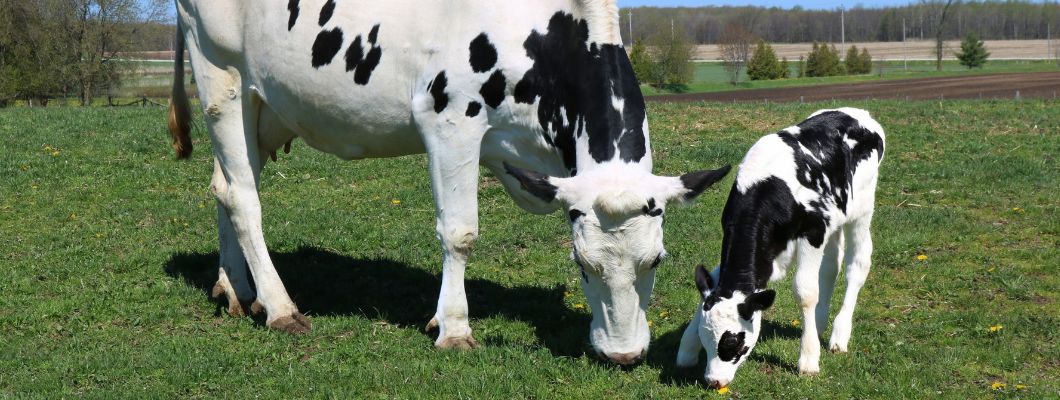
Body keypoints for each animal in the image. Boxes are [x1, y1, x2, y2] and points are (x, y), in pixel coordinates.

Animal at [167, 0, 729, 362]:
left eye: (656, 261)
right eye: (582, 263)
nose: (624, 354)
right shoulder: (451, 120)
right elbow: (460, 233)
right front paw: (455, 327)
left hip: (267, 106)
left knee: (224, 187)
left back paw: (235, 288)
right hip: (220, 75)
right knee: (244, 198)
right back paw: (281, 308)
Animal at [678, 108, 886, 386]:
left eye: (735, 343)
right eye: (706, 338)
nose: (714, 381)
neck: (767, 188)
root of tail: (859, 114)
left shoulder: (813, 231)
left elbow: (805, 291)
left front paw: (808, 359)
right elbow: (712, 279)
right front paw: (687, 348)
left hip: (861, 209)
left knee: (857, 265)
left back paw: (839, 335)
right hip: (835, 217)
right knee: (831, 266)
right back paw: (819, 323)